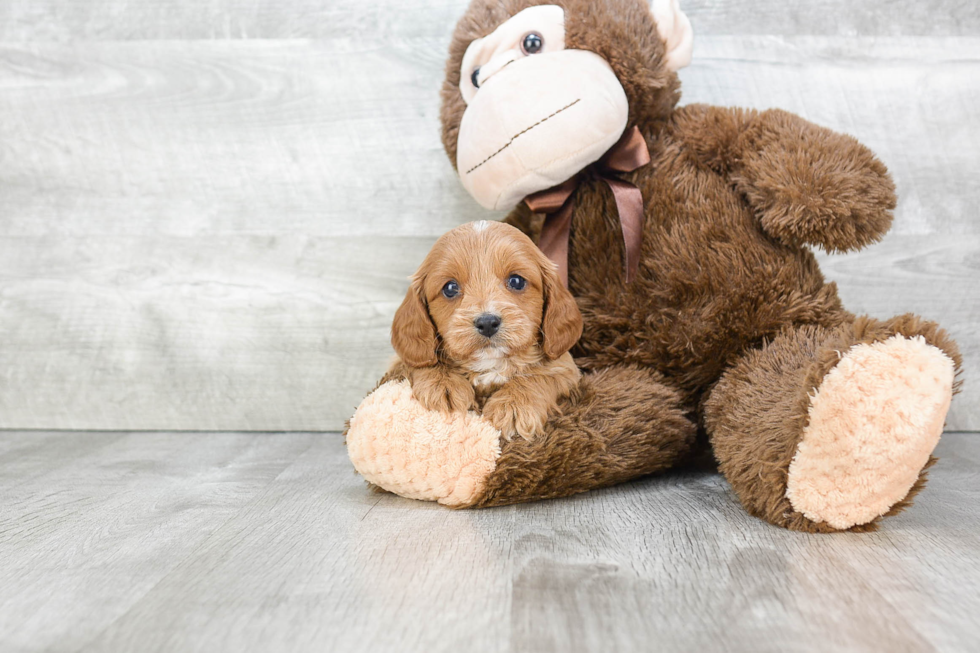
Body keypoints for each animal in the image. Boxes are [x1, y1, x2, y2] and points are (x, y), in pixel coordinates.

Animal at [386, 219, 580, 438]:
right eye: (450, 288)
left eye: (516, 281)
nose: (487, 323)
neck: (490, 362)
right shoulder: (400, 360)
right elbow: (419, 361)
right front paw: (443, 384)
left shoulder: (565, 366)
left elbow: (541, 374)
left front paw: (514, 405)